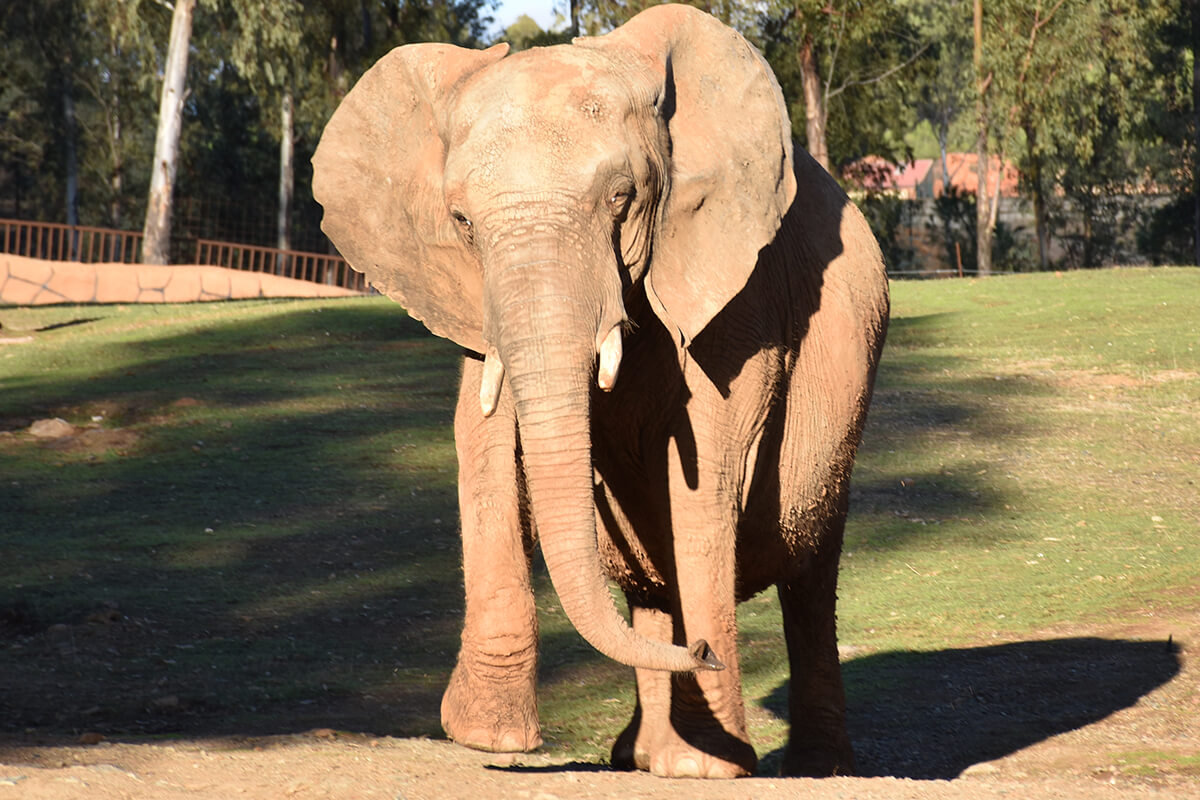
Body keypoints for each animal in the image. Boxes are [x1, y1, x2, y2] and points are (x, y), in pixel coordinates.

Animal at [314, 4, 888, 782]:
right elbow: (482, 440)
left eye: (622, 199)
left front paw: (708, 767)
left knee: (810, 576)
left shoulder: (742, 292)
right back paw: (639, 755)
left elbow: (707, 464)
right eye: (462, 222)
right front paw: (489, 738)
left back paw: (809, 764)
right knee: (653, 594)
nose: (706, 652)